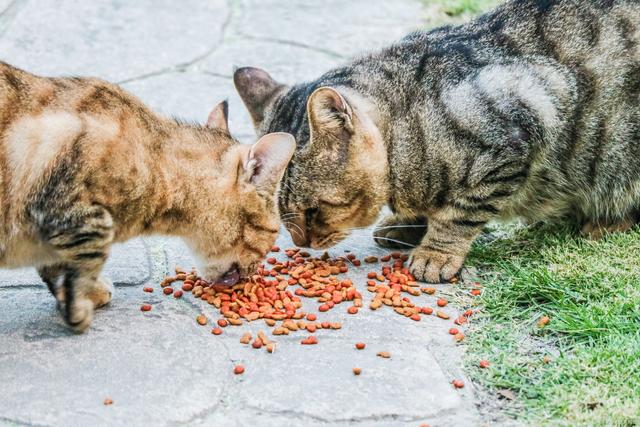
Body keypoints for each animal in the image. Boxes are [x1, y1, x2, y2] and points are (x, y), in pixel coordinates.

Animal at [232, 0, 640, 284]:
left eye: (314, 210)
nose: (300, 243)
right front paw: (408, 224)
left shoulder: (524, 123)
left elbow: (459, 213)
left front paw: (435, 253)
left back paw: (606, 223)